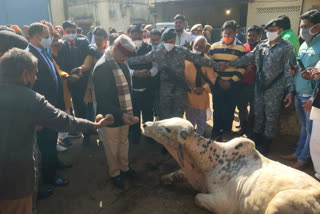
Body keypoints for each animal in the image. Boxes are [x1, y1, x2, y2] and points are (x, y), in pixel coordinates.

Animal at [144, 118, 320, 213]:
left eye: (167, 129)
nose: (145, 125)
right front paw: (165, 178)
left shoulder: (223, 204)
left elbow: (197, 197)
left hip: (280, 202)